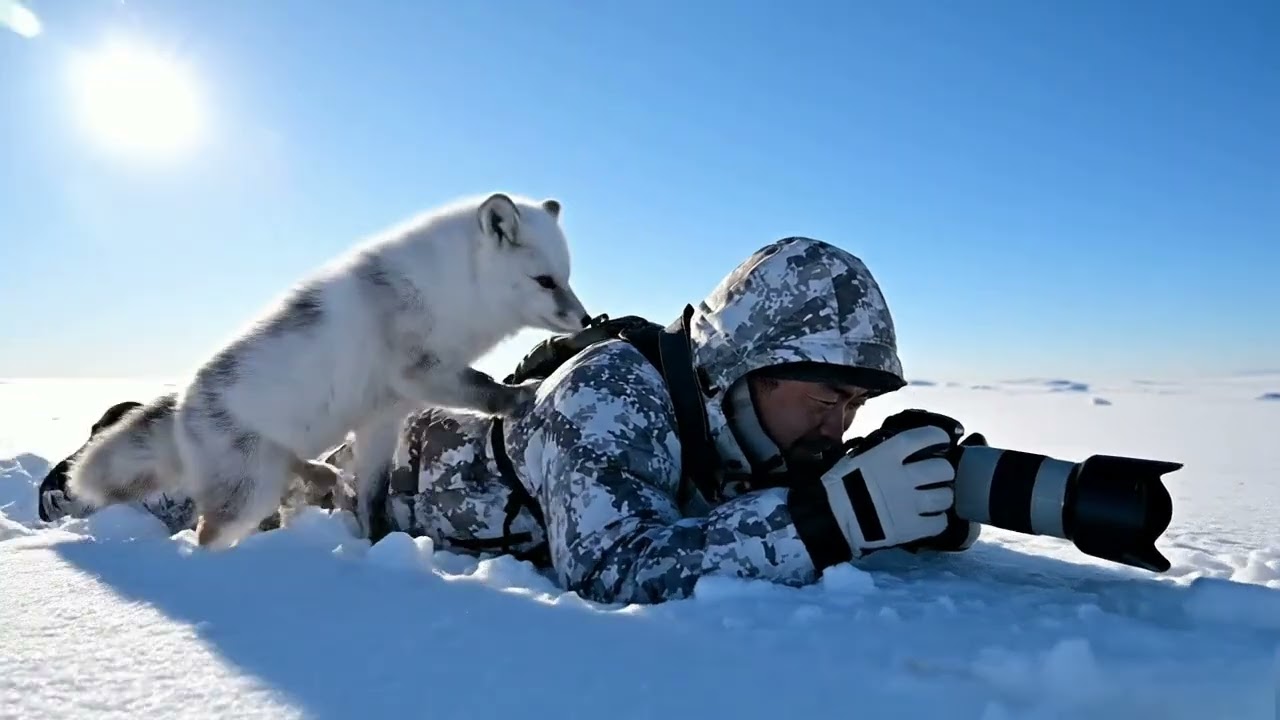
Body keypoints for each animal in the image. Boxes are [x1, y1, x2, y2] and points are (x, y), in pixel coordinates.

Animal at [66, 192, 590, 548]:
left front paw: (377, 544)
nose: (587, 321)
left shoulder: (384, 418)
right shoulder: (421, 370)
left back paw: (320, 476)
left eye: (567, 278)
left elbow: (374, 497)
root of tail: (180, 410)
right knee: (208, 534)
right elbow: (481, 386)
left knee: (291, 474)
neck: (455, 287)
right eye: (544, 281)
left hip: (277, 465)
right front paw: (518, 396)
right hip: (247, 494)